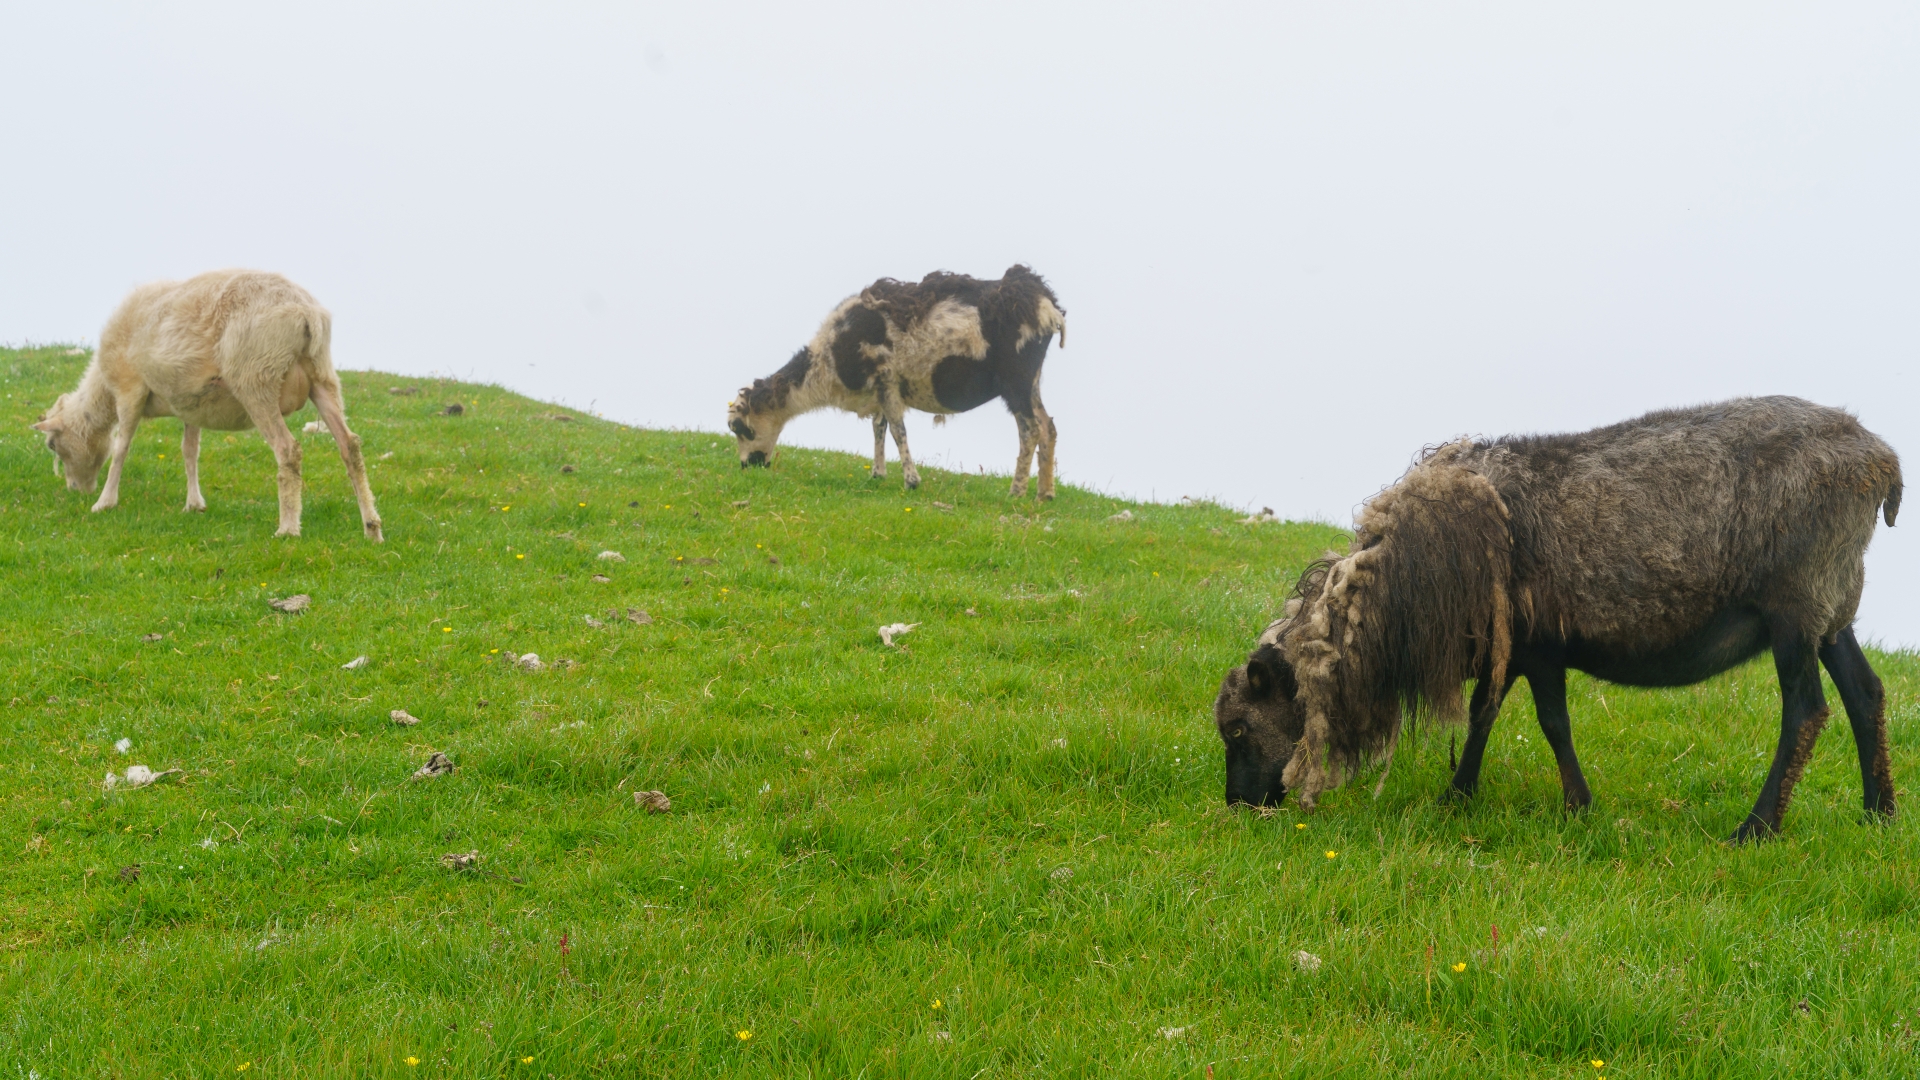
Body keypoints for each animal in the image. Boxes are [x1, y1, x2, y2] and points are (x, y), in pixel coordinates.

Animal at [721, 263, 1067, 495]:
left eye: (740, 428)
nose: (747, 467)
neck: (827, 362)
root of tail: (1046, 304)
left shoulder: (886, 380)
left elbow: (899, 430)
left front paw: (911, 481)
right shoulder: (879, 390)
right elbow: (879, 428)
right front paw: (878, 474)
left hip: (1016, 379)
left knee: (1030, 430)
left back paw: (1016, 492)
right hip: (1032, 381)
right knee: (1048, 426)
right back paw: (1045, 494)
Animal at [1213, 397, 1904, 841]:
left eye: (1240, 728)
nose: (1237, 805)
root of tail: (1881, 462)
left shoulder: (1539, 646)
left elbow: (1551, 724)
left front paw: (1577, 806)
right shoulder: (1514, 650)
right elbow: (1484, 716)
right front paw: (1457, 796)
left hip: (1796, 605)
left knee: (1807, 711)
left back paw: (1757, 828)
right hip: (1832, 606)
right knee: (1865, 693)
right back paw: (1880, 815)